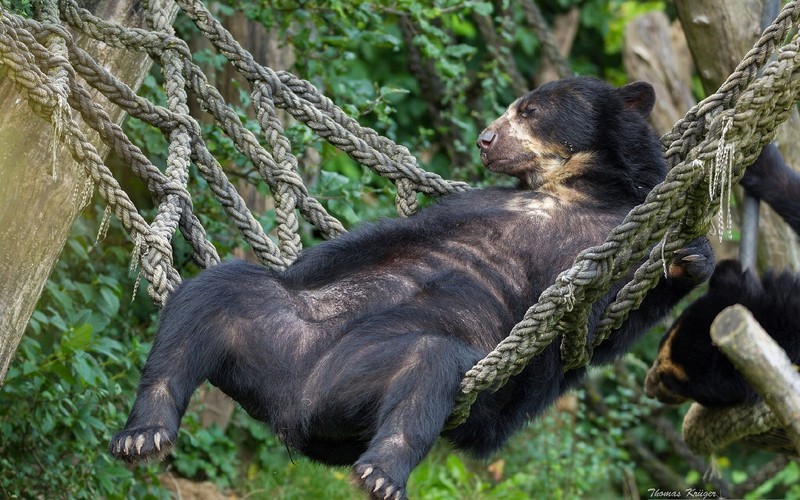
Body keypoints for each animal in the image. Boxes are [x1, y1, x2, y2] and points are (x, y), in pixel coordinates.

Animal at [108, 76, 712, 498]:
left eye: (530, 110)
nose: (485, 139)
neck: (574, 188)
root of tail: (290, 405)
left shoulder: (616, 236)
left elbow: (611, 320)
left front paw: (690, 258)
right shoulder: (477, 204)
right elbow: (387, 236)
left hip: (379, 372)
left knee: (429, 371)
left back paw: (380, 473)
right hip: (278, 324)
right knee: (213, 296)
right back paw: (143, 433)